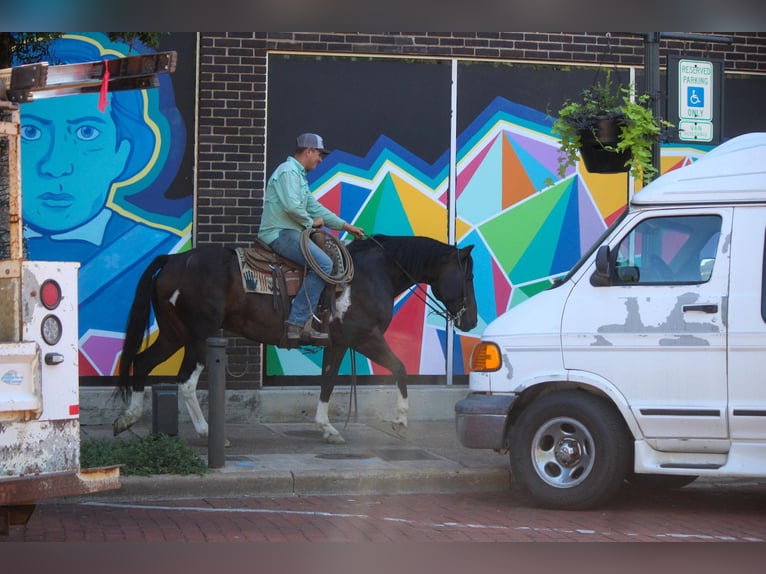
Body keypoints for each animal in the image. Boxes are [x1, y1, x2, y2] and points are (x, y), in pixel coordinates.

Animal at [112, 234, 476, 446]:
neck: (373, 275)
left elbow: (327, 382)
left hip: (174, 334)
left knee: (142, 362)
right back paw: (205, 432)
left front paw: (326, 428)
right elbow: (400, 369)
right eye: (469, 276)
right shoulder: (366, 338)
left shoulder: (339, 343)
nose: (471, 320)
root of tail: (174, 260)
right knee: (185, 382)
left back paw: (127, 419)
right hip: (199, 336)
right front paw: (400, 421)